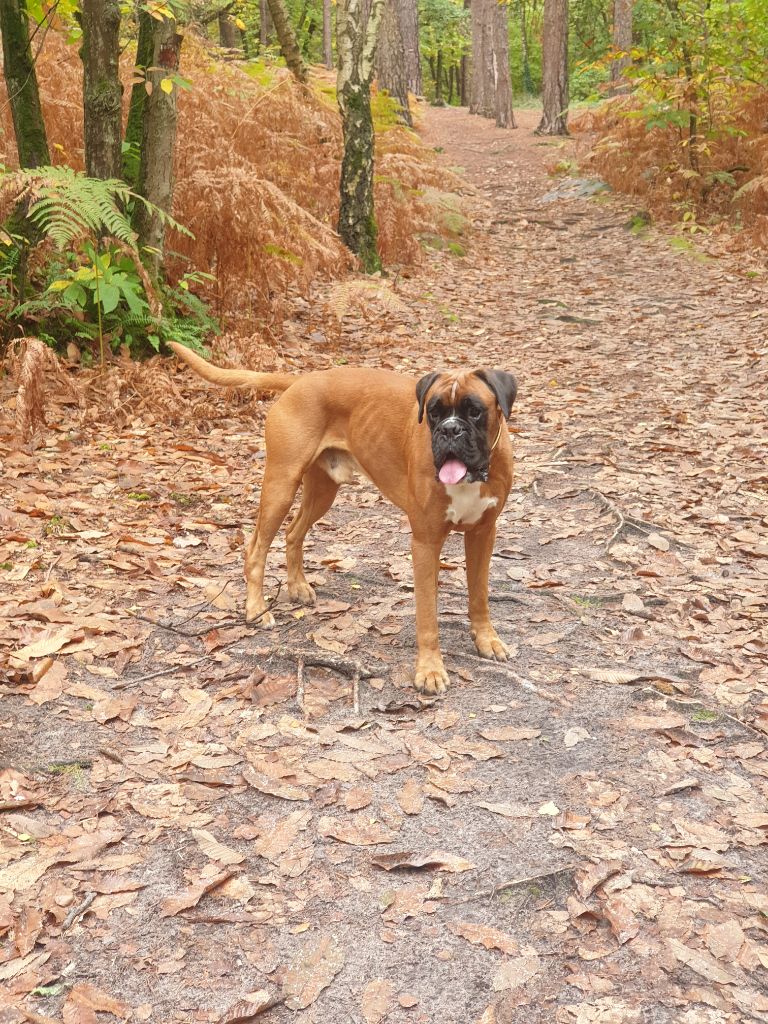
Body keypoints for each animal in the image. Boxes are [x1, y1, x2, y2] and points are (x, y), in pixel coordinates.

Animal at [167, 344, 518, 696]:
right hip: (282, 484)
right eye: (433, 412)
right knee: (256, 549)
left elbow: (479, 594)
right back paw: (255, 609)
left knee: (293, 533)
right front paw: (430, 669)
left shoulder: (483, 533)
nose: (449, 430)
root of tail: (301, 380)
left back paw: (298, 586)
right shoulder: (425, 542)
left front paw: (486, 639)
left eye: (475, 411)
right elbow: (427, 615)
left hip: (322, 490)